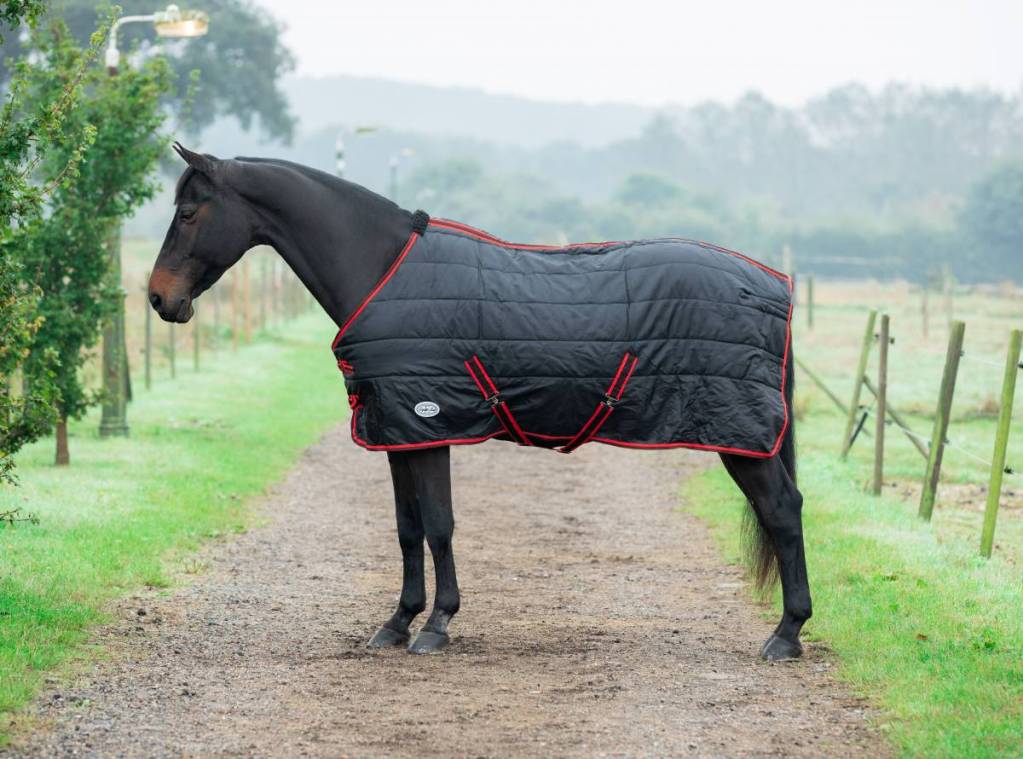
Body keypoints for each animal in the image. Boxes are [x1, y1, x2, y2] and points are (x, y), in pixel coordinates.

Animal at [148, 143, 811, 660]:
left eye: (187, 211)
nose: (158, 298)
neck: (383, 271)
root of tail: (773, 284)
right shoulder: (397, 432)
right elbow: (408, 528)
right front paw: (397, 621)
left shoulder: (429, 424)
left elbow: (439, 525)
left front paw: (437, 624)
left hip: (740, 436)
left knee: (782, 510)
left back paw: (786, 634)